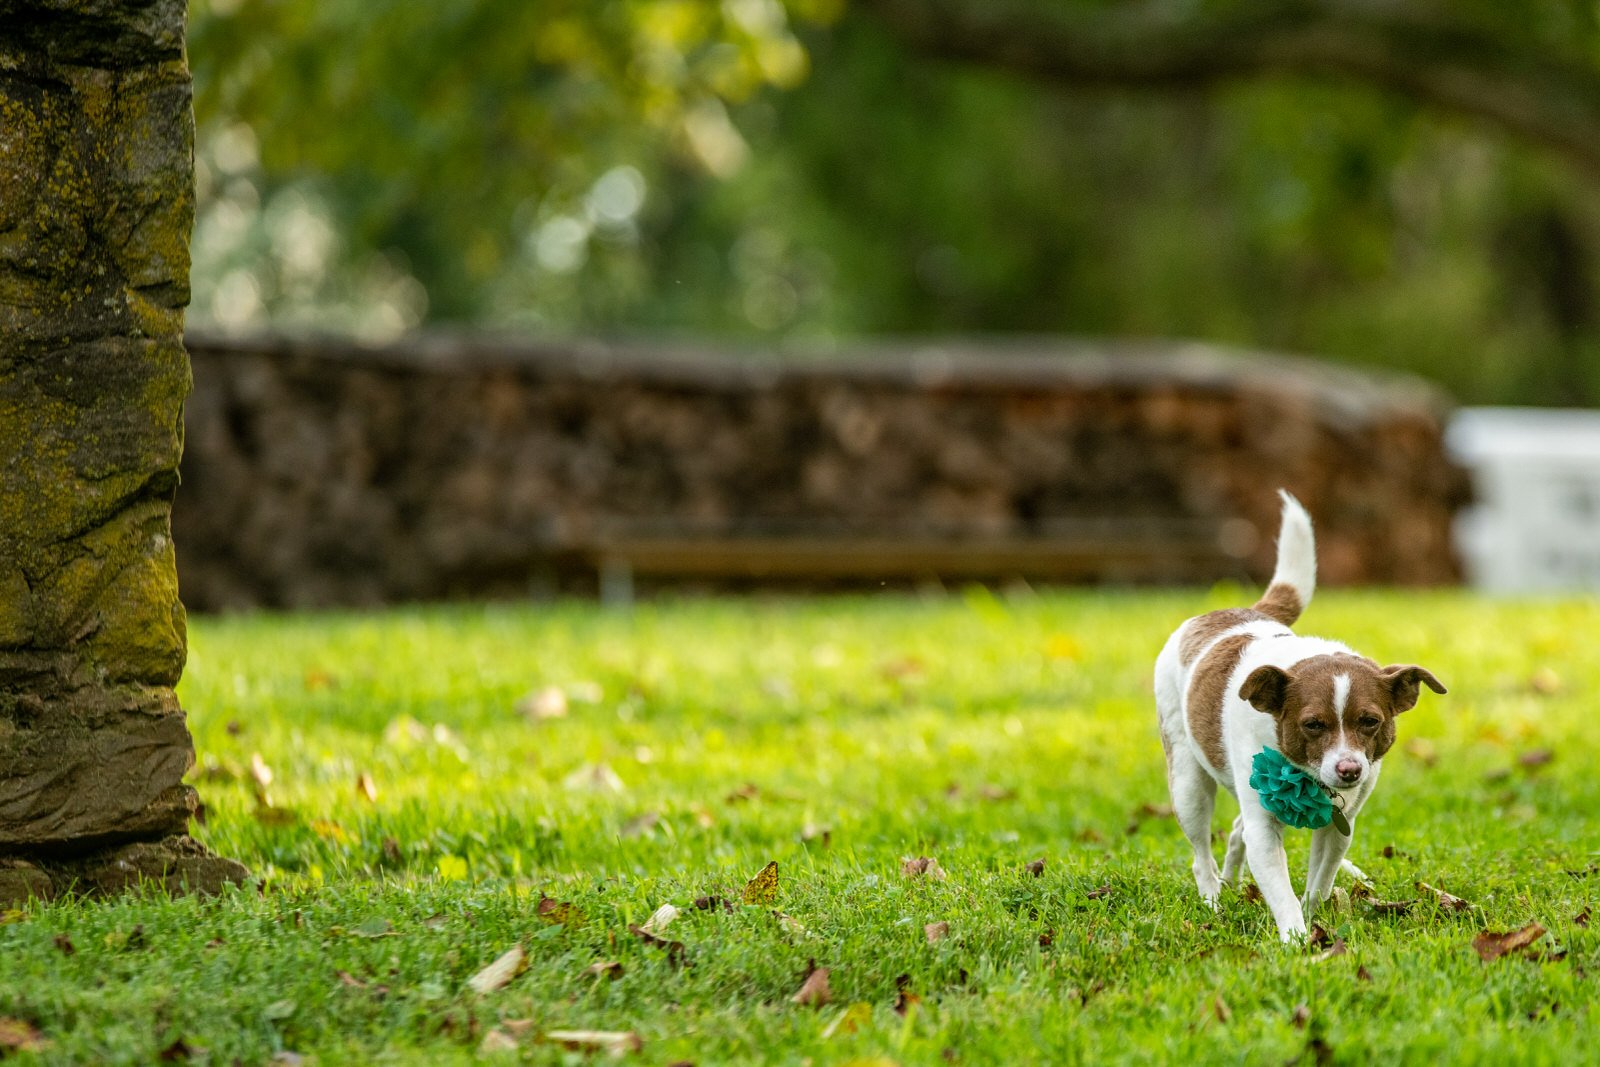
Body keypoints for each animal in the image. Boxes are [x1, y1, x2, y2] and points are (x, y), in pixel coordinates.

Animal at [1158, 492, 1446, 940]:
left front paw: (1315, 920)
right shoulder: (1264, 827)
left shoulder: (1339, 827)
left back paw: (1231, 885)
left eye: (1370, 722)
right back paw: (1213, 900)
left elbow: (1319, 883)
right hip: (1188, 783)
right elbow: (1281, 890)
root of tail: (1237, 610)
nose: (1349, 770)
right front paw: (1296, 940)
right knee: (1201, 851)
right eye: (1312, 725)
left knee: (1235, 833)